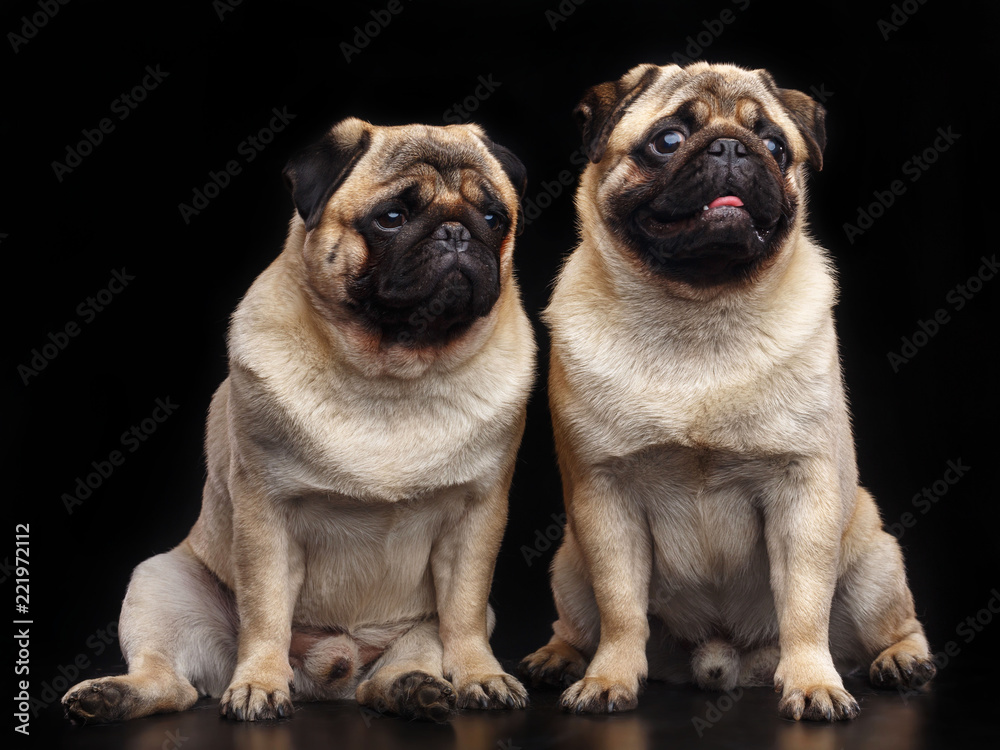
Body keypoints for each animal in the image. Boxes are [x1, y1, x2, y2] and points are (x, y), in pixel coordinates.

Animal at [63, 120, 540, 724]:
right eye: (392, 217)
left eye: (495, 219)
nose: (457, 232)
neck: (392, 376)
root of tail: (329, 674)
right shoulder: (266, 512)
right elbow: (266, 610)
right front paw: (260, 684)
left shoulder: (477, 517)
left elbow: (464, 614)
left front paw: (480, 675)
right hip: (159, 583)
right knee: (173, 684)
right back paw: (111, 696)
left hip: (406, 640)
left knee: (394, 671)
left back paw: (413, 689)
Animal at [520, 63, 932, 724]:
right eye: (667, 141)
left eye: (774, 146)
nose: (733, 148)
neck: (698, 313)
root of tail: (721, 661)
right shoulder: (606, 496)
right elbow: (621, 609)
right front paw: (609, 679)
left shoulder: (802, 490)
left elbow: (804, 605)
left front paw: (814, 683)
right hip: (570, 563)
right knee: (581, 623)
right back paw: (559, 658)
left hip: (874, 565)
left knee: (895, 625)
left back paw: (901, 661)